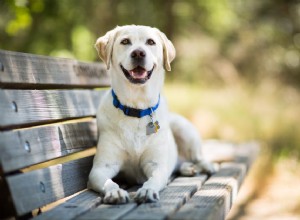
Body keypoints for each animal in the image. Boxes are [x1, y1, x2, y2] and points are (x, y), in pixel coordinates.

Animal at [88, 24, 214, 204]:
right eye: (125, 41)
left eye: (150, 42)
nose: (138, 53)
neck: (137, 108)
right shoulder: (101, 168)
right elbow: (108, 181)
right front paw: (115, 191)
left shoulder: (156, 165)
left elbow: (155, 178)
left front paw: (147, 190)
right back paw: (187, 168)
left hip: (184, 128)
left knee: (197, 156)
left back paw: (205, 166)